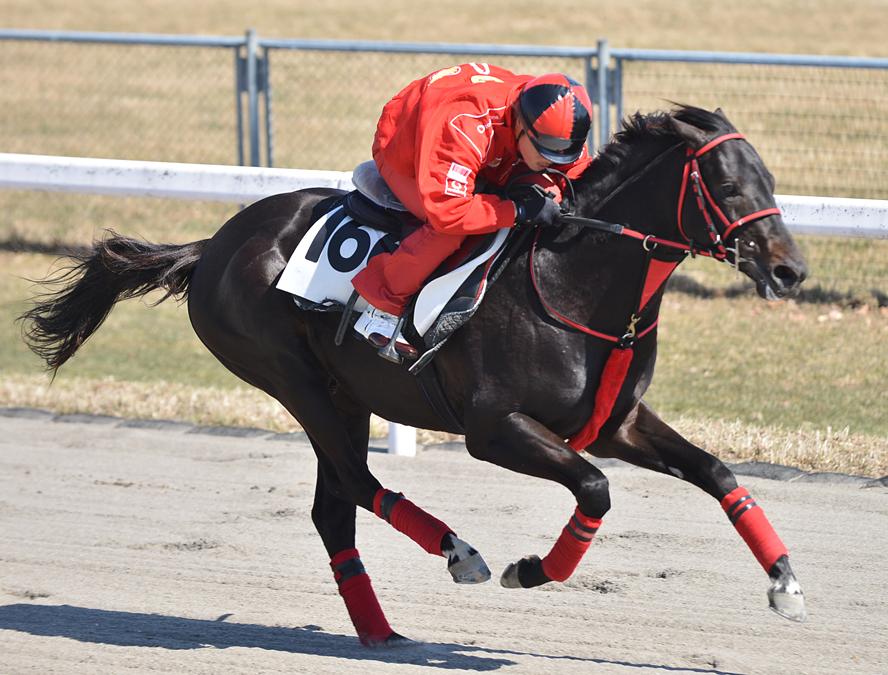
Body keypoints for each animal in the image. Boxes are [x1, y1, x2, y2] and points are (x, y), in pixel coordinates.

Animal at [21, 105, 809, 646]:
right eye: (727, 184)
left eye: (771, 179)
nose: (789, 270)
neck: (573, 279)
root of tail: (214, 241)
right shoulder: (495, 429)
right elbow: (595, 488)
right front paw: (530, 569)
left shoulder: (617, 423)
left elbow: (717, 472)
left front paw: (787, 584)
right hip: (294, 380)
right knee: (357, 482)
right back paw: (459, 553)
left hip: (346, 393)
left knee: (334, 505)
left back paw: (381, 633)